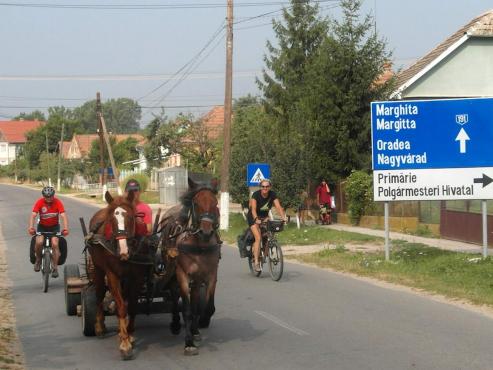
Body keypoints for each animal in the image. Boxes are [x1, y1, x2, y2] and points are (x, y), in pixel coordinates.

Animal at [86, 192, 156, 360]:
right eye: (111, 220)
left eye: (131, 218)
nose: (123, 251)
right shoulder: (112, 275)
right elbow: (121, 308)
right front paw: (125, 344)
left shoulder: (136, 277)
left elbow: (132, 306)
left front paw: (129, 335)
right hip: (98, 268)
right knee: (99, 294)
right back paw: (100, 326)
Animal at [159, 178, 220, 356]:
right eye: (196, 203)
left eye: (215, 203)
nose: (206, 232)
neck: (199, 244)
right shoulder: (182, 276)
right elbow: (186, 310)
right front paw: (188, 343)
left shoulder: (211, 274)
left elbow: (207, 307)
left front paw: (202, 322)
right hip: (172, 273)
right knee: (174, 296)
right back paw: (175, 324)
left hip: (196, 280)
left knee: (195, 303)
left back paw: (194, 330)